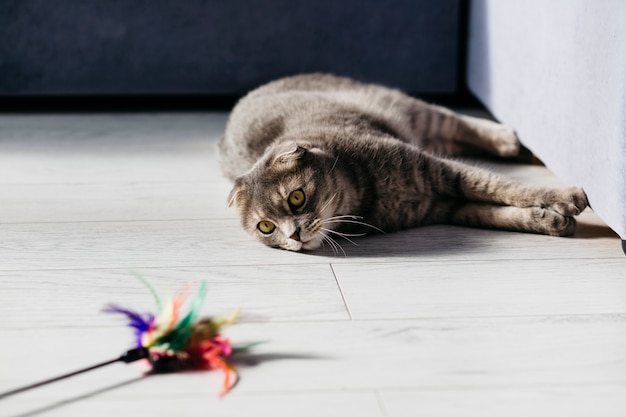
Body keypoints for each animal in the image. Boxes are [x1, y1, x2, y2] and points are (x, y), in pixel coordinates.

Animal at [218, 73, 584, 252]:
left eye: (297, 198)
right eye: (266, 227)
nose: (293, 235)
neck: (366, 199)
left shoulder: (441, 170)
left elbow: (504, 187)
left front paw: (565, 197)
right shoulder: (443, 206)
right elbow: (493, 213)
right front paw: (548, 220)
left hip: (412, 112)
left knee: (455, 119)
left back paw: (510, 141)